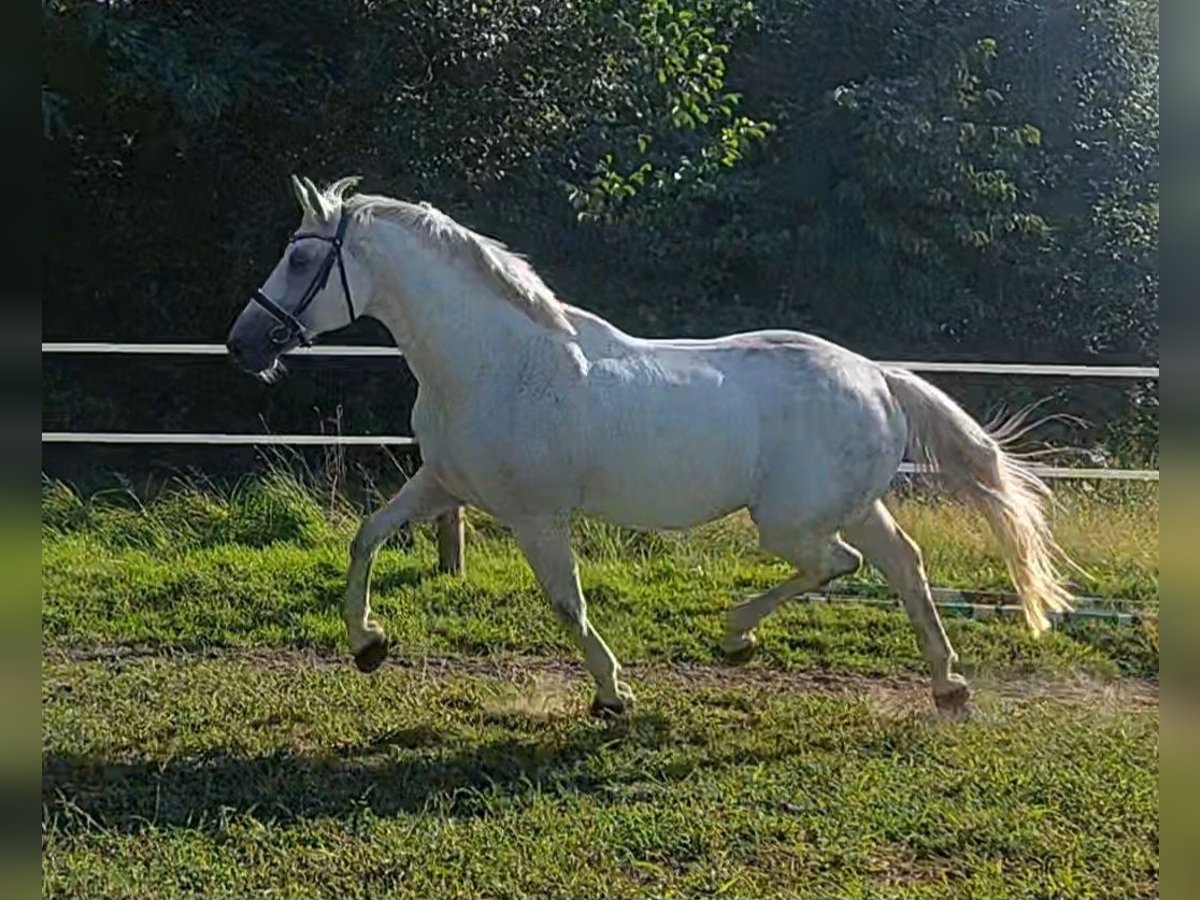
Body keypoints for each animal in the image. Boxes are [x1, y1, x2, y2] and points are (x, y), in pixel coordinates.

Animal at [226, 174, 1080, 710]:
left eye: (301, 256)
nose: (244, 344)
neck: (496, 362)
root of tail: (876, 375)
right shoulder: (443, 485)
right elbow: (367, 537)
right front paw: (368, 644)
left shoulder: (536, 517)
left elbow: (566, 602)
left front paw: (612, 695)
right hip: (851, 504)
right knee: (903, 565)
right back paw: (946, 685)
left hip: (792, 521)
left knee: (843, 565)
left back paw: (735, 634)